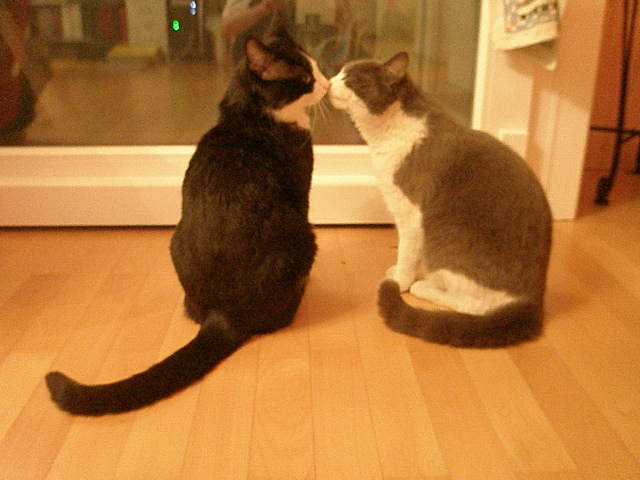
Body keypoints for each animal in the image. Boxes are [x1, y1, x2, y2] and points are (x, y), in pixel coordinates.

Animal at [45, 31, 329, 415]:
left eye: (314, 70)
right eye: (304, 78)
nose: (327, 84)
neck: (250, 114)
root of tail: (224, 314)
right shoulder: (302, 181)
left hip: (174, 240)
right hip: (303, 239)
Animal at [329, 52, 552, 348]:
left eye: (352, 80)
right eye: (339, 72)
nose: (327, 82)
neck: (385, 133)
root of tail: (532, 301)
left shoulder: (411, 216)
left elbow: (407, 254)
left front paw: (400, 280)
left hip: (445, 240)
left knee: (475, 304)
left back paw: (425, 286)